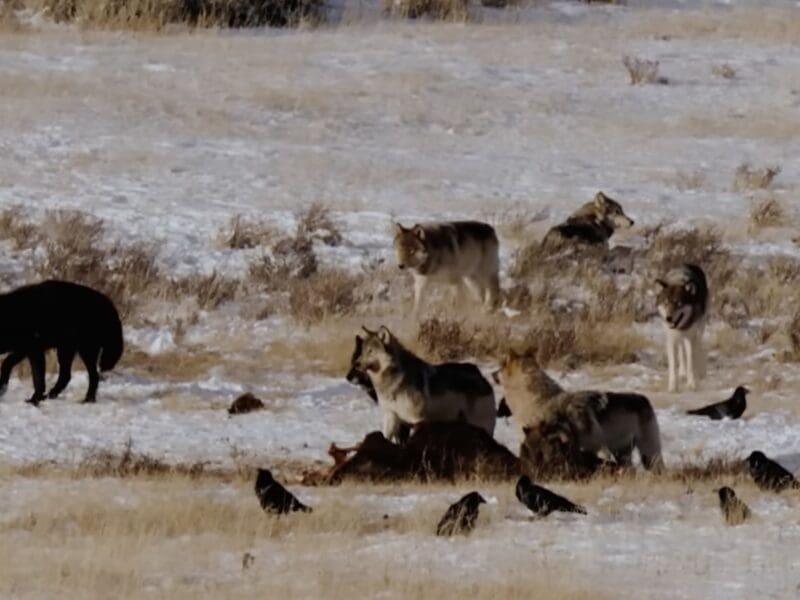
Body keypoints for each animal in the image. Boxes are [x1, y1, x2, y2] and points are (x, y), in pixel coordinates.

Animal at [352, 326, 496, 442]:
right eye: (362, 352)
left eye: (371, 351)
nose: (356, 364)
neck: (392, 382)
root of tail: (482, 377)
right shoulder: (391, 417)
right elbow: (385, 437)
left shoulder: (418, 420)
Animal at [497, 350, 663, 471]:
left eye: (499, 368)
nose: (492, 374)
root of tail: (644, 399)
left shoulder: (597, 448)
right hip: (623, 453)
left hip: (649, 452)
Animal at [656, 263, 708, 392]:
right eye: (665, 303)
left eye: (679, 304)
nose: (669, 318)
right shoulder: (671, 339)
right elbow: (673, 364)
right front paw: (673, 387)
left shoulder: (690, 337)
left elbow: (691, 362)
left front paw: (692, 384)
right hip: (679, 338)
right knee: (681, 351)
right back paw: (682, 373)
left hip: (699, 330)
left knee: (697, 348)